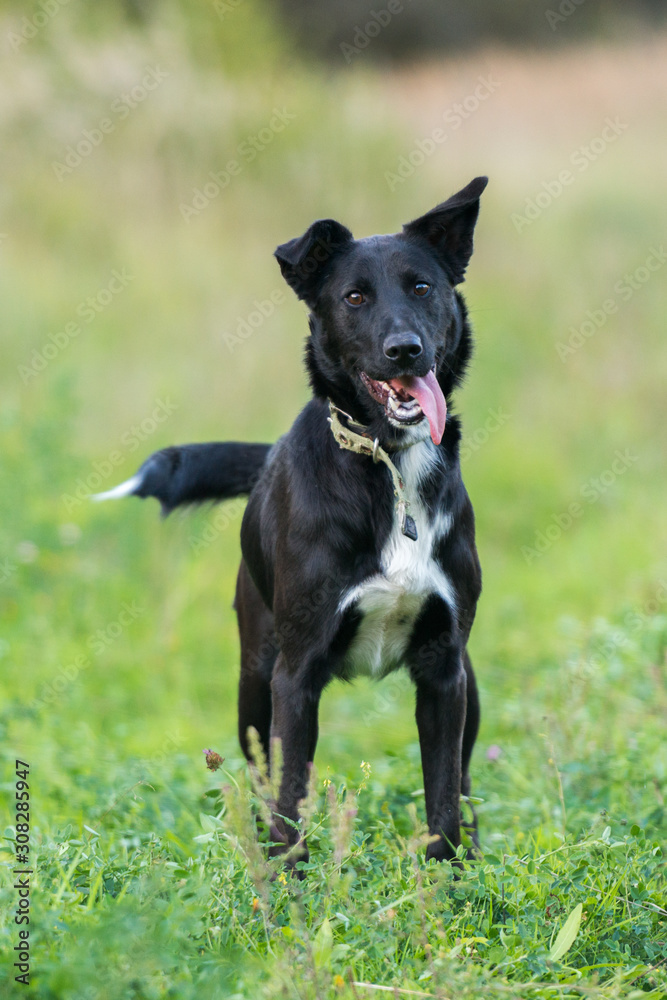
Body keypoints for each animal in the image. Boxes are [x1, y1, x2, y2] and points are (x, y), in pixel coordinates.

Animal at [96, 178, 488, 868]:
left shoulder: (445, 671)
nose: (405, 350)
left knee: (465, 778)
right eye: (354, 297)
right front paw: (287, 887)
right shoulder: (296, 674)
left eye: (422, 287)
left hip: (472, 686)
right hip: (254, 676)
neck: (390, 463)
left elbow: (441, 791)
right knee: (258, 777)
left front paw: (447, 883)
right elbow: (288, 798)